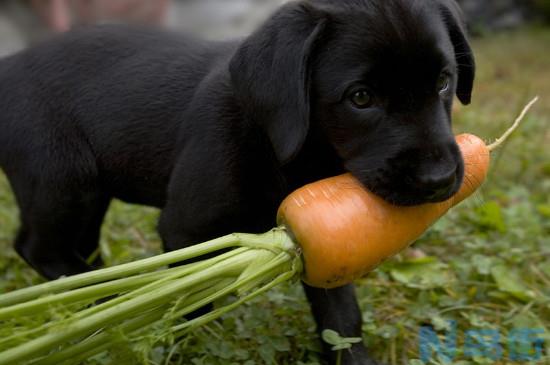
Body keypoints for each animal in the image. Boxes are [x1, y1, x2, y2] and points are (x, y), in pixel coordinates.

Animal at [0, 1, 474, 362]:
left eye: (443, 82)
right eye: (360, 98)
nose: (439, 178)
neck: (281, 145)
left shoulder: (321, 236)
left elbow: (341, 315)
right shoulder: (185, 230)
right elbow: (191, 302)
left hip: (89, 188)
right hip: (61, 178)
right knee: (38, 247)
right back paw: (104, 302)